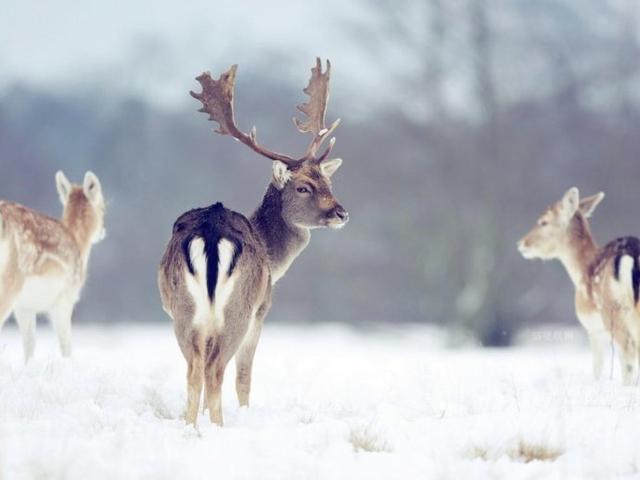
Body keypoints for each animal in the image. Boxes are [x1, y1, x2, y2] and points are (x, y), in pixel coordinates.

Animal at [0, 172, 106, 360]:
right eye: (103, 207)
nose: (103, 231)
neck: (79, 244)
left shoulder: (24, 306)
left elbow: (29, 345)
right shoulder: (65, 297)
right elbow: (66, 345)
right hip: (10, 280)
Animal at [160, 59, 350, 424]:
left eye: (328, 182)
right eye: (303, 187)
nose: (341, 213)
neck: (273, 256)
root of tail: (210, 232)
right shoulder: (262, 311)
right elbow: (245, 377)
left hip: (183, 309)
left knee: (195, 369)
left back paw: (192, 427)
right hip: (238, 310)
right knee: (216, 369)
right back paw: (218, 427)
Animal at [516, 189, 640, 384]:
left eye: (543, 221)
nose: (521, 243)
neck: (581, 271)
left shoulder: (593, 328)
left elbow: (597, 370)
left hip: (614, 312)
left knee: (628, 352)